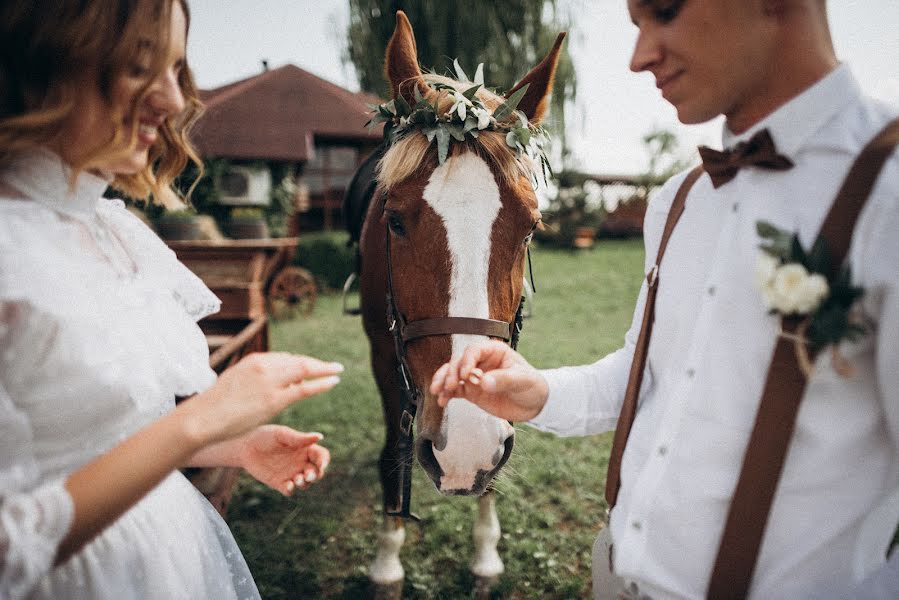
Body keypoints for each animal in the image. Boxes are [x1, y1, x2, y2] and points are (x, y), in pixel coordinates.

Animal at [344, 10, 564, 596]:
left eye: (531, 227)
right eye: (394, 220)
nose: (464, 446)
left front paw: (485, 553)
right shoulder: (383, 355)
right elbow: (393, 453)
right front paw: (387, 560)